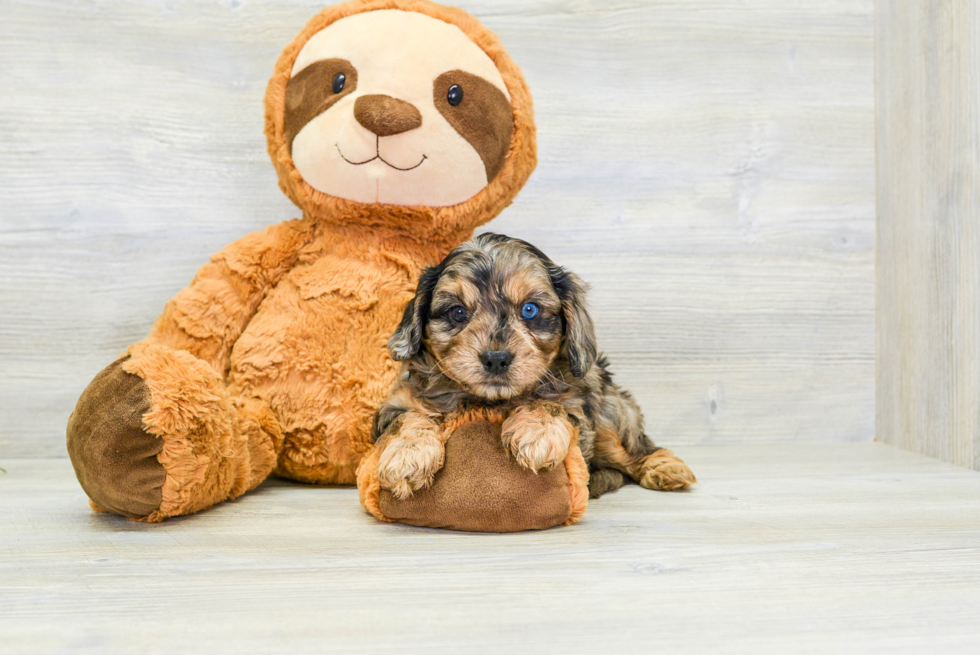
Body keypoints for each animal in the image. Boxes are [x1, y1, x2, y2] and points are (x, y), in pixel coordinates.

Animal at [370, 233, 696, 500]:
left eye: (530, 310)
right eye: (457, 312)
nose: (496, 358)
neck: (488, 400)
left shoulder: (577, 403)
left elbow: (552, 403)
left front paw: (536, 434)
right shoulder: (395, 404)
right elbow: (410, 418)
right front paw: (407, 455)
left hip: (611, 416)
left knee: (635, 449)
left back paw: (666, 468)